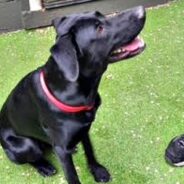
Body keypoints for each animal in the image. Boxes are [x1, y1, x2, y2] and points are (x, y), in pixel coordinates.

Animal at [0, 6, 145, 183]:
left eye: (101, 16)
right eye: (99, 28)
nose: (141, 10)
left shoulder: (84, 128)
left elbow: (89, 149)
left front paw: (97, 170)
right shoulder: (61, 150)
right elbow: (72, 176)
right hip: (26, 146)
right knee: (32, 158)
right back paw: (44, 167)